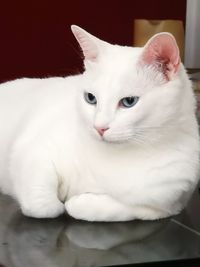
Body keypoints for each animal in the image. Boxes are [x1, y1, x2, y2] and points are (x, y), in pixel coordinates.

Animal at [0, 25, 199, 222]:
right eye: (90, 98)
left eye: (129, 102)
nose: (99, 127)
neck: (114, 157)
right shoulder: (34, 151)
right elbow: (44, 206)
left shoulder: (165, 206)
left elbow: (112, 208)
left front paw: (77, 202)